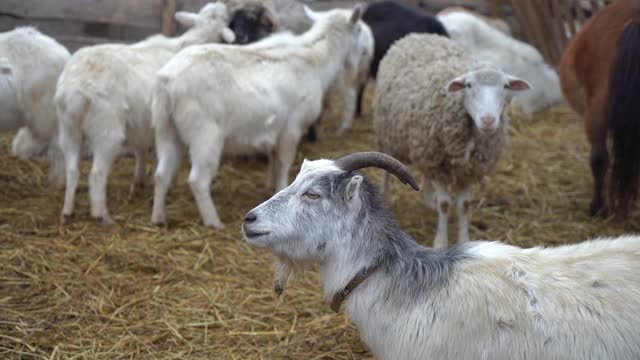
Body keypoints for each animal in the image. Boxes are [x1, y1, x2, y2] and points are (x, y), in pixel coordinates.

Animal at [147, 4, 362, 228]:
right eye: (359, 30)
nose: (358, 62)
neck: (315, 59)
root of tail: (166, 82)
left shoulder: (278, 129)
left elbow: (274, 159)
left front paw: (271, 185)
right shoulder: (291, 127)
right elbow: (284, 162)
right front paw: (283, 185)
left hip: (166, 129)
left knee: (161, 174)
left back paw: (158, 218)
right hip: (204, 134)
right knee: (197, 180)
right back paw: (214, 221)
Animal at [376, 33, 528, 248]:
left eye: (505, 86)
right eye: (469, 85)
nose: (488, 120)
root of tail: (417, 35)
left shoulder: (466, 169)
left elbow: (464, 205)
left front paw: (464, 239)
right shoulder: (439, 165)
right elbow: (445, 204)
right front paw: (440, 241)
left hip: (424, 148)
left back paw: (428, 197)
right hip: (389, 133)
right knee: (386, 167)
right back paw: (385, 195)